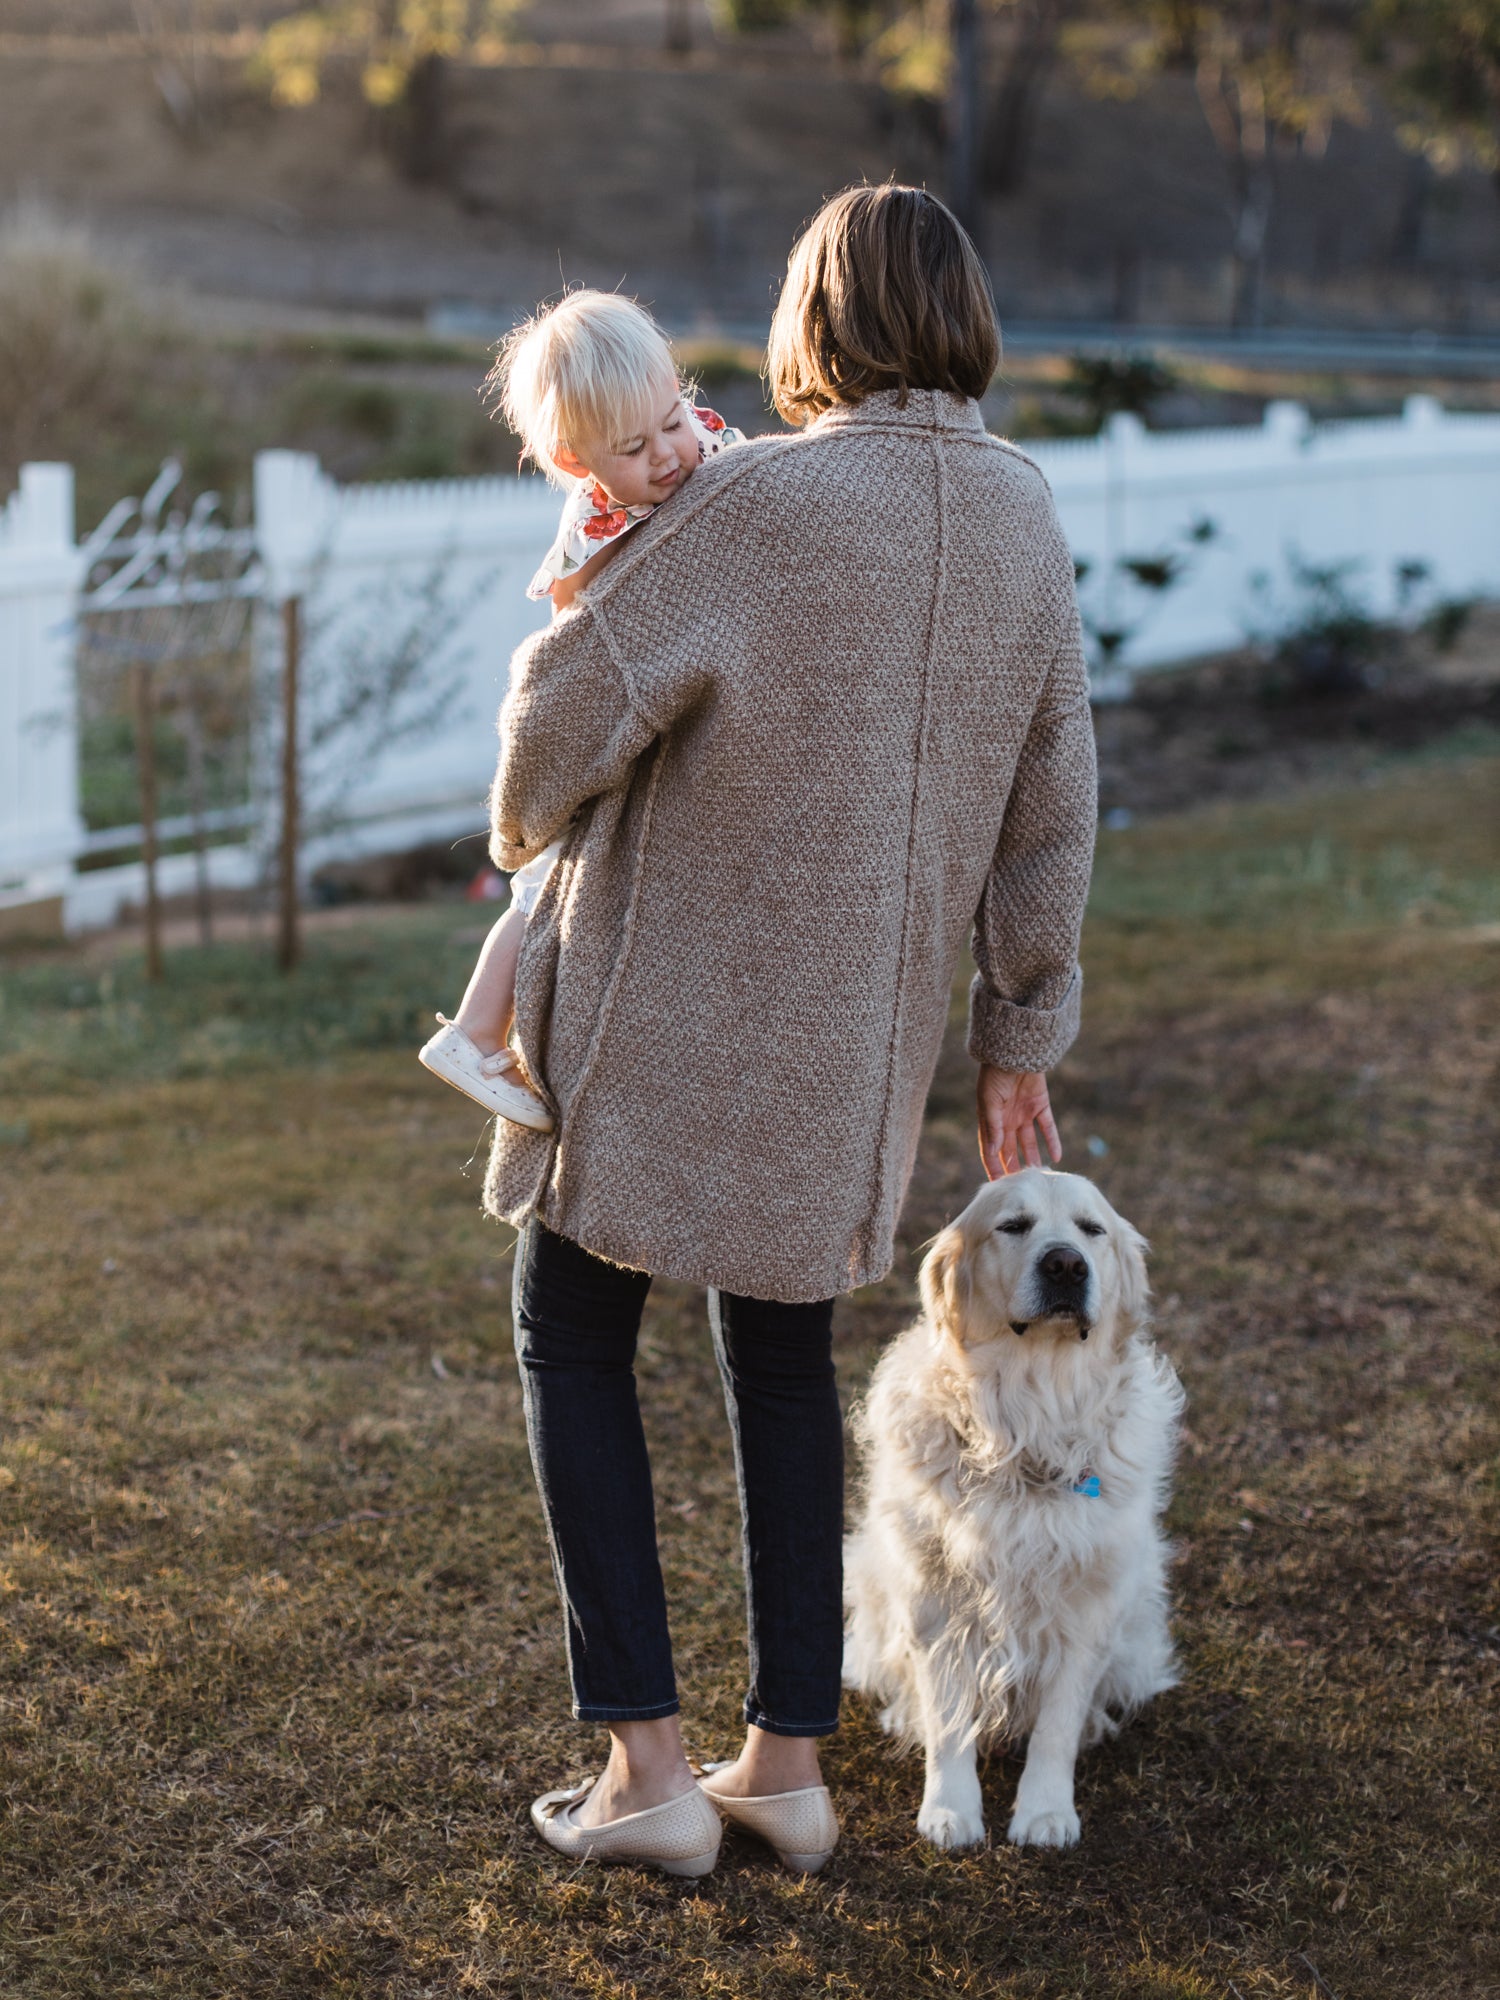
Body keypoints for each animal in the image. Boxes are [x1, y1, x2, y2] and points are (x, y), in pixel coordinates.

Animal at [848, 1168, 1184, 1840]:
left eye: (1091, 1229)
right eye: (1013, 1226)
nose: (1066, 1265)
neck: (1031, 1418)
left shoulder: (1087, 1608)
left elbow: (1056, 1725)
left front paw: (1046, 1812)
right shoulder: (936, 1601)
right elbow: (949, 1718)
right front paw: (950, 1810)